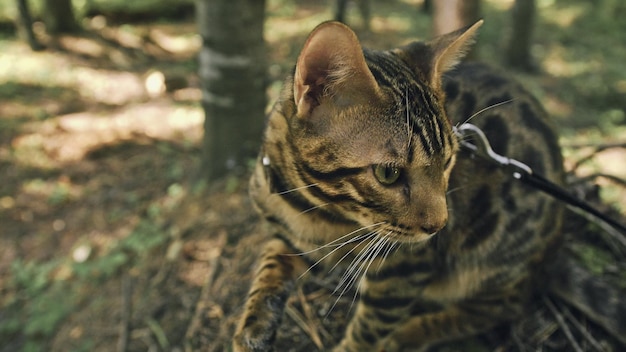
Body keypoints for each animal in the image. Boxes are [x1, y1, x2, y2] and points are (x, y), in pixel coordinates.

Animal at [232, 20, 564, 350]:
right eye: (388, 173)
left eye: (447, 161)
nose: (439, 225)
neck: (315, 207)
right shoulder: (291, 238)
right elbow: (269, 266)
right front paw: (253, 325)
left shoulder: (405, 267)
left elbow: (371, 328)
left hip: (490, 255)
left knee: (504, 305)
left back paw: (408, 335)